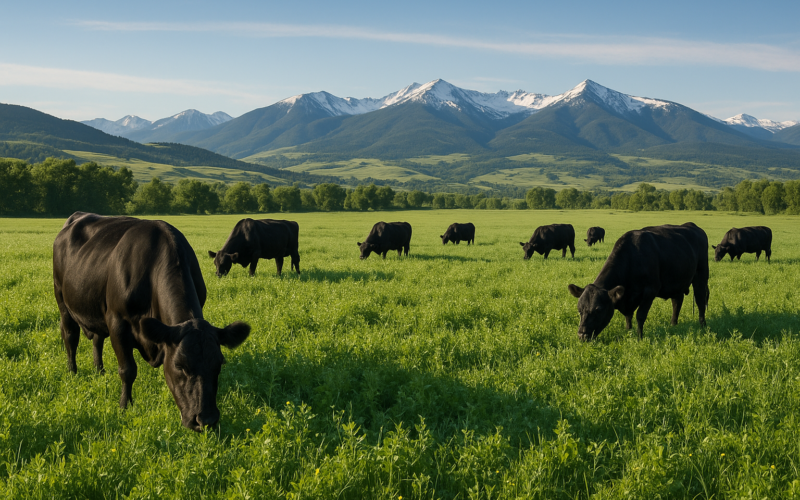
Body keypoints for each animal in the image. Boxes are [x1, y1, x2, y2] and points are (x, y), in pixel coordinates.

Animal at [53, 212, 251, 431]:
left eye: (219, 363)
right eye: (180, 365)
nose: (205, 420)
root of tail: (77, 216)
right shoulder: (117, 321)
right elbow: (127, 370)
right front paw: (125, 406)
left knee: (97, 339)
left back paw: (99, 371)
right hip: (62, 298)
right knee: (70, 337)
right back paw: (73, 372)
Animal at [567, 222, 709, 341]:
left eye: (598, 310)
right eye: (579, 310)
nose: (582, 335)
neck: (633, 257)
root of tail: (693, 226)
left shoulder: (650, 291)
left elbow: (640, 315)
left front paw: (639, 337)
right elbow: (628, 316)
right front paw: (628, 330)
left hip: (701, 276)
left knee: (700, 300)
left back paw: (703, 325)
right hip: (677, 282)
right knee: (677, 302)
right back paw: (673, 324)